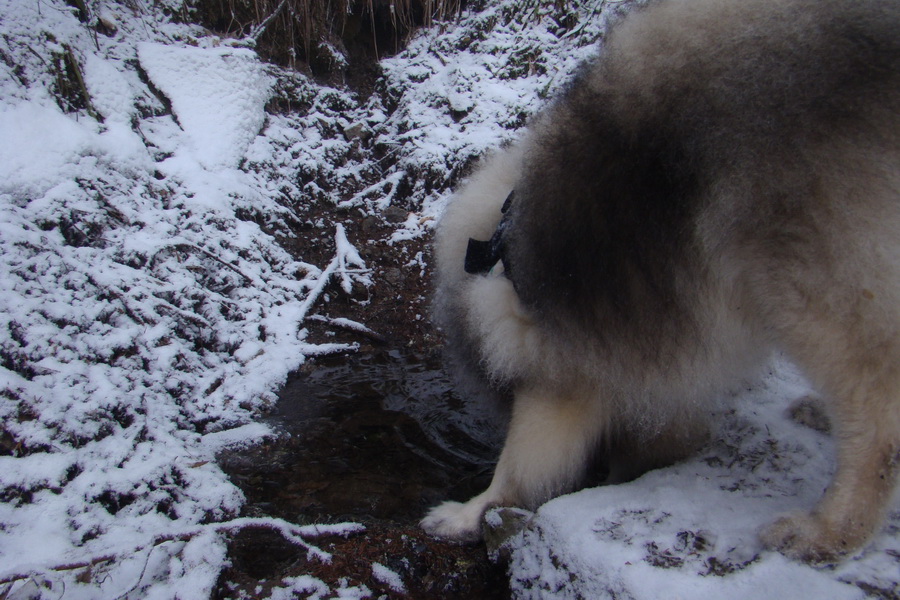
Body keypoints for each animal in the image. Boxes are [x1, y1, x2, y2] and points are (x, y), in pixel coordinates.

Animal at [424, 0, 900, 564]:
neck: (498, 240)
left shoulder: (561, 356)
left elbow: (526, 454)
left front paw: (472, 511)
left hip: (808, 270)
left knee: (878, 410)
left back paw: (829, 528)